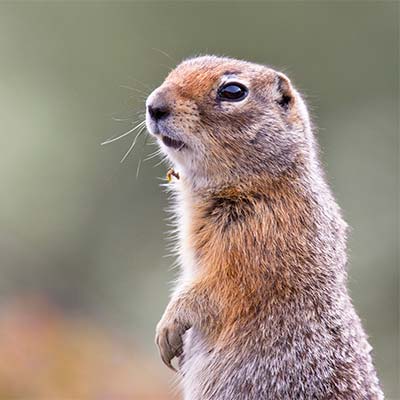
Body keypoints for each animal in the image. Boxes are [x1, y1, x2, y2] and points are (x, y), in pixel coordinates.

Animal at [145, 56, 382, 400]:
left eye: (233, 91)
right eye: (177, 69)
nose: (154, 105)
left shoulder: (261, 237)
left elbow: (222, 285)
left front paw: (168, 327)